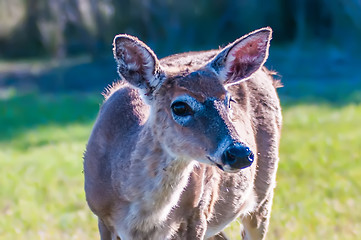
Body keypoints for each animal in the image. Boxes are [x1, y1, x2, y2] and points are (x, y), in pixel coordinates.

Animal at [83, 27, 282, 240]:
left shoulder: (196, 215)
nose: (240, 153)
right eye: (180, 107)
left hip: (263, 191)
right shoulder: (102, 217)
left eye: (229, 101)